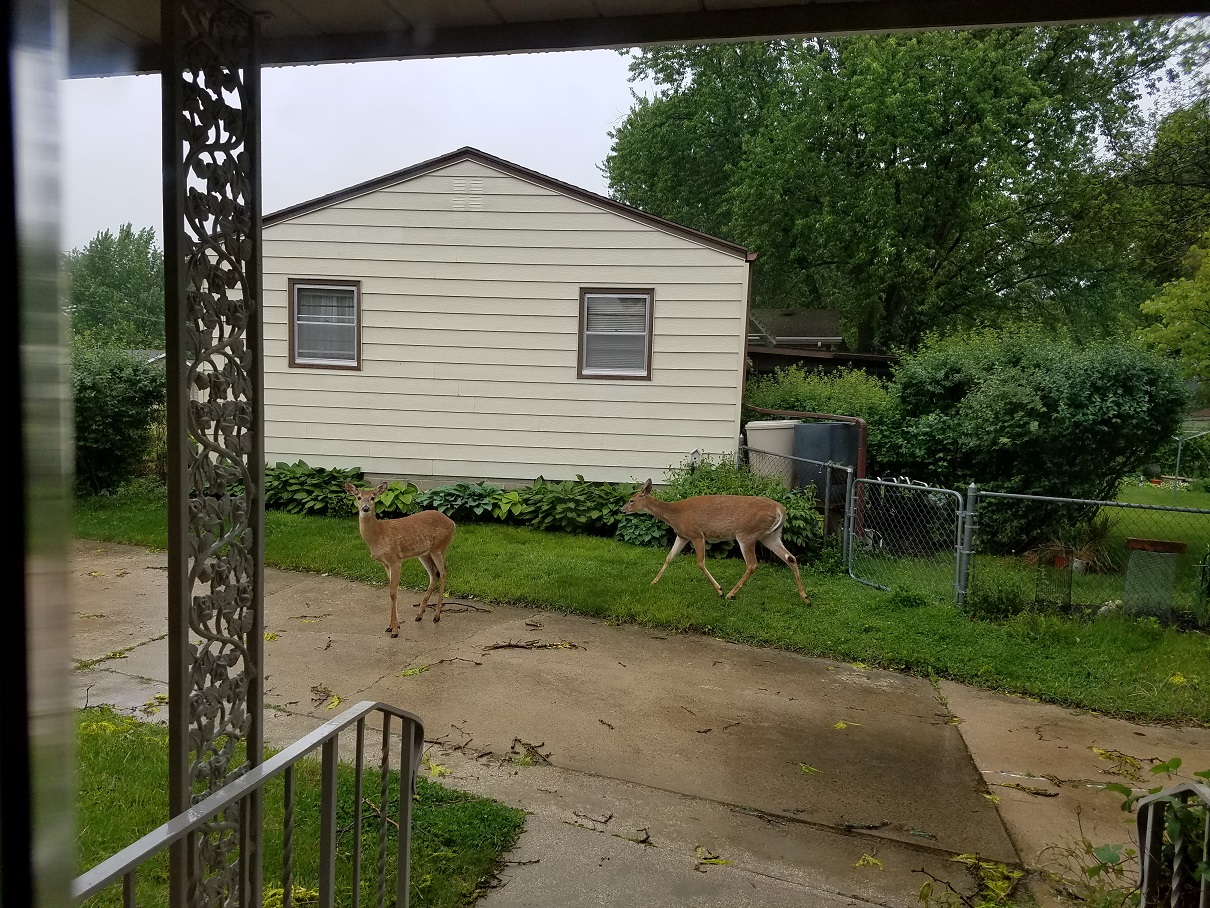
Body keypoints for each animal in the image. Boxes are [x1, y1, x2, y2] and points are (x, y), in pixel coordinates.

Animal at [343, 482, 457, 635]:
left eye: (373, 497)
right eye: (359, 497)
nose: (365, 508)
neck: (378, 535)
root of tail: (452, 523)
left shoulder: (395, 559)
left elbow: (393, 592)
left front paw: (395, 630)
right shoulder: (386, 564)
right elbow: (392, 591)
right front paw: (391, 626)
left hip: (439, 547)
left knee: (444, 572)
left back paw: (436, 615)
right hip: (424, 553)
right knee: (434, 575)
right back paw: (419, 614)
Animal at [620, 479, 809, 603]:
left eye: (631, 500)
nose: (622, 510)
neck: (675, 515)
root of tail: (780, 510)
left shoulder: (697, 535)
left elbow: (700, 562)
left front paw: (719, 590)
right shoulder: (682, 536)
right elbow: (669, 557)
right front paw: (653, 582)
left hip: (746, 534)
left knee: (752, 564)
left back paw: (730, 594)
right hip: (770, 535)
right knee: (791, 558)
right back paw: (805, 597)